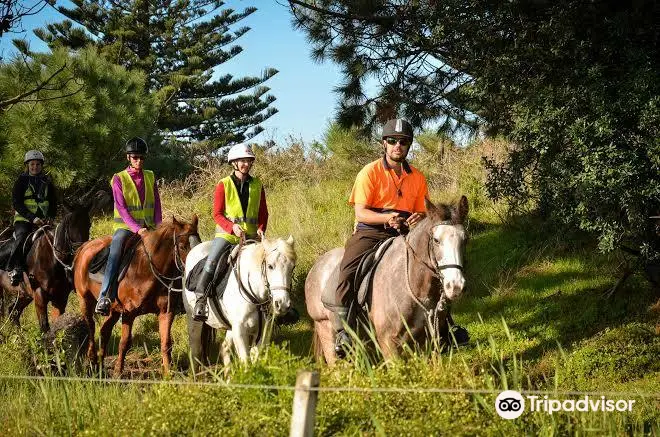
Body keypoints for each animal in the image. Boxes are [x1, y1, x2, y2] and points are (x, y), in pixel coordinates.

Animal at [72, 215, 200, 374]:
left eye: (199, 242)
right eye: (182, 246)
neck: (147, 270)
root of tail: (85, 246)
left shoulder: (166, 312)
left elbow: (166, 343)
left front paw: (168, 373)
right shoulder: (129, 313)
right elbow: (124, 342)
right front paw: (118, 372)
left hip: (113, 309)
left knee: (104, 331)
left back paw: (100, 364)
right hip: (84, 300)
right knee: (91, 326)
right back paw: (92, 358)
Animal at [180, 235, 294, 368]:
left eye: (292, 267)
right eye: (270, 266)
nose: (282, 304)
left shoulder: (263, 330)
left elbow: (255, 358)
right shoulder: (240, 330)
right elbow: (245, 361)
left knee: (224, 348)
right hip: (193, 321)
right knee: (195, 352)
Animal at [306, 196, 470, 362]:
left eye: (465, 239)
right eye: (436, 240)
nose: (456, 286)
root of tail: (316, 267)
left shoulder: (426, 343)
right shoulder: (389, 343)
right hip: (326, 330)